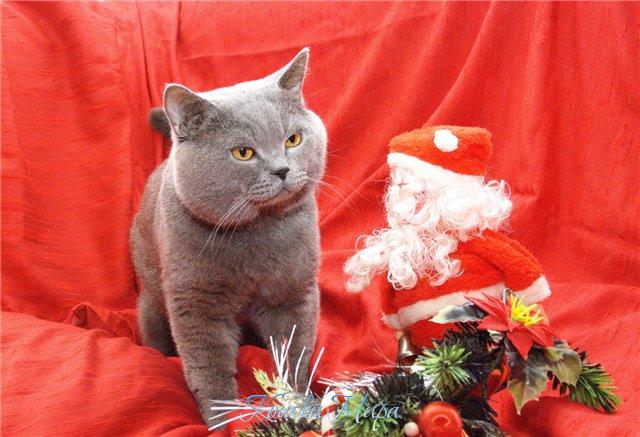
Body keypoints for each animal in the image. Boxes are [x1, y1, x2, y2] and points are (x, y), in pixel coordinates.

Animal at [129, 49, 326, 427]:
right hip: (150, 298)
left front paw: (299, 403)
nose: (282, 169)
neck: (256, 232)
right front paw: (223, 421)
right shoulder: (196, 304)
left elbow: (295, 352)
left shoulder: (294, 292)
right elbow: (209, 367)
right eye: (243, 153)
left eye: (293, 139)